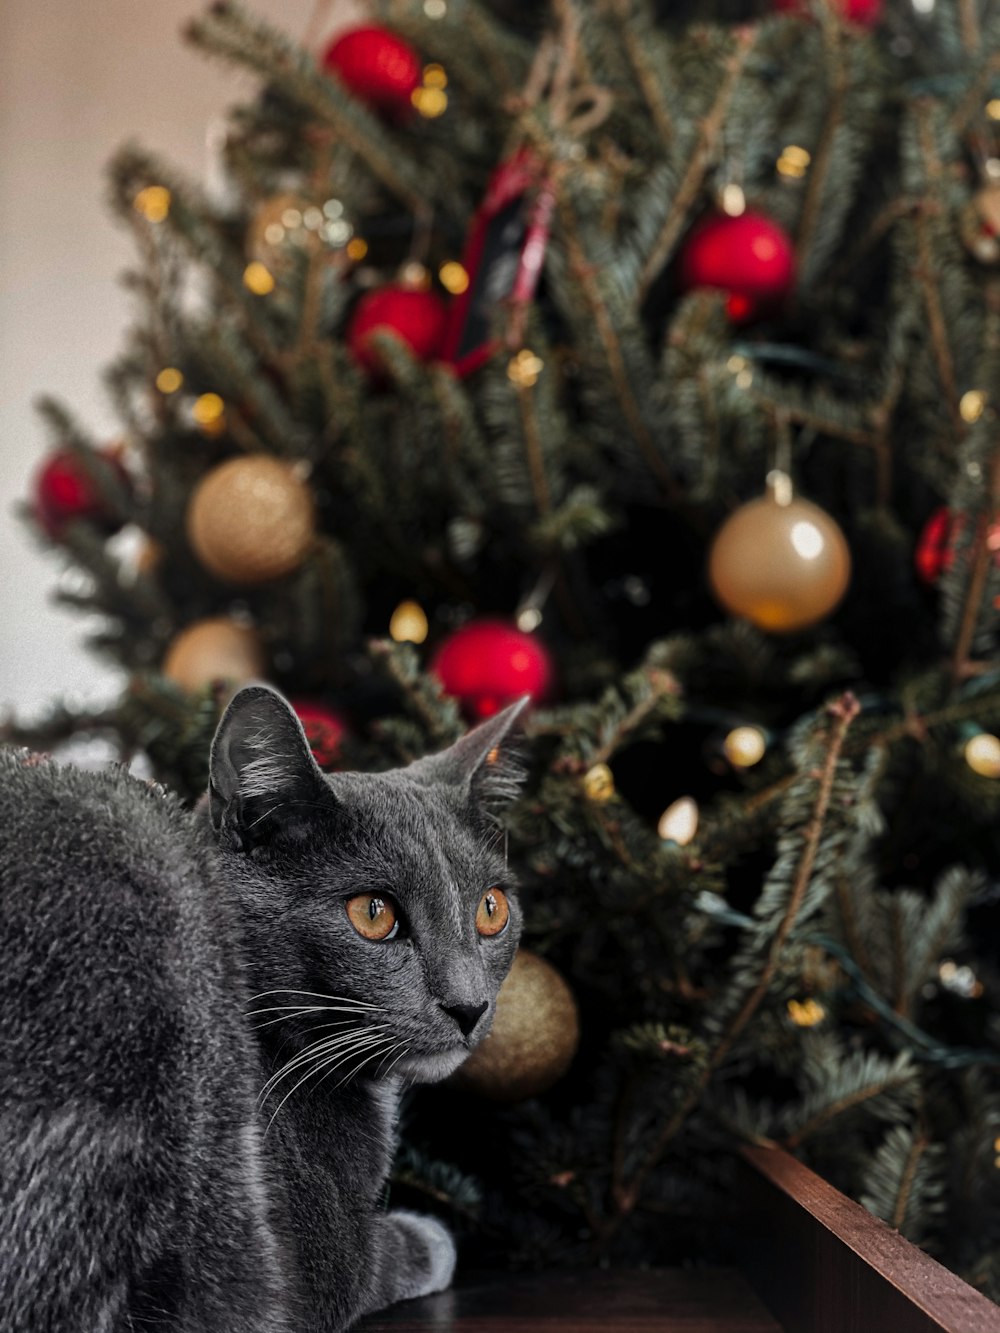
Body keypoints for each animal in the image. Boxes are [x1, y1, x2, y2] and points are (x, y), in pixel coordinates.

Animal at [0, 687, 528, 1333]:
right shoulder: (321, 1252)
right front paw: (434, 1239)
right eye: (373, 913)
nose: (469, 1005)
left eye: (491, 908)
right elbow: (373, 1259)